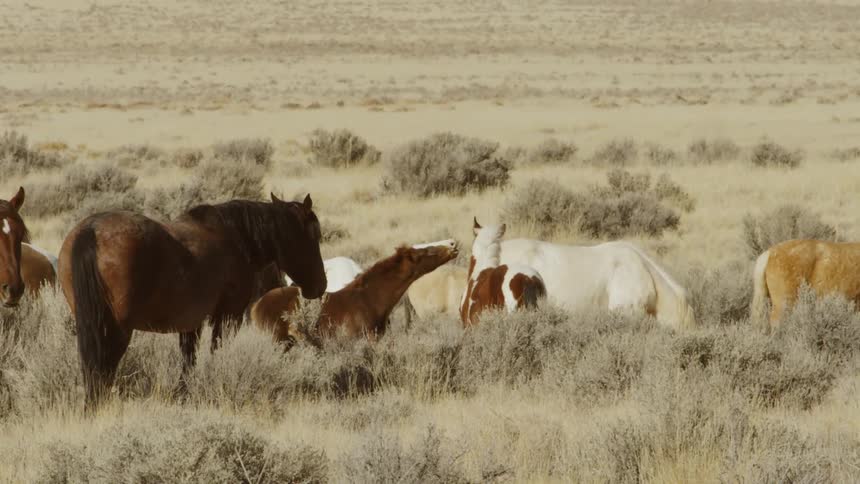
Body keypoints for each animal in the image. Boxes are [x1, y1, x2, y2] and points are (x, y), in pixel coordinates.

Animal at [57, 193, 327, 407]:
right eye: (315, 235)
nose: (320, 285)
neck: (236, 237)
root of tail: (91, 230)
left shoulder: (191, 322)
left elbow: (188, 359)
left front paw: (183, 394)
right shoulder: (228, 315)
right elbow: (216, 351)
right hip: (117, 329)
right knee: (104, 367)